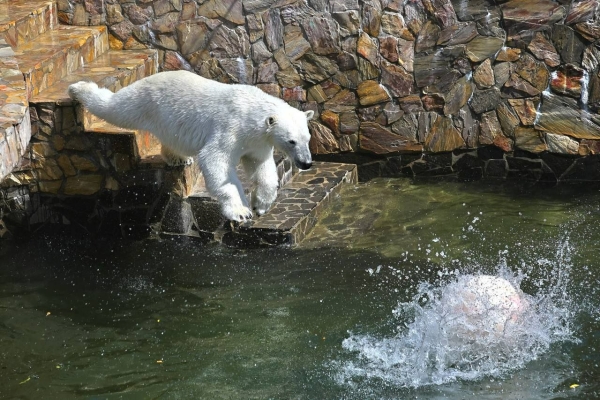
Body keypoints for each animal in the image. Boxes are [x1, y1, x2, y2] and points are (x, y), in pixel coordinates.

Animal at [67, 70, 314, 220]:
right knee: (115, 107)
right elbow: (215, 161)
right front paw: (241, 211)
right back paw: (78, 89)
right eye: (291, 141)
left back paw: (179, 158)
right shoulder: (232, 128)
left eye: (307, 138)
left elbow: (261, 167)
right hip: (145, 100)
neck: (250, 111)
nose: (306, 163)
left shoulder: (257, 141)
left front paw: (260, 204)